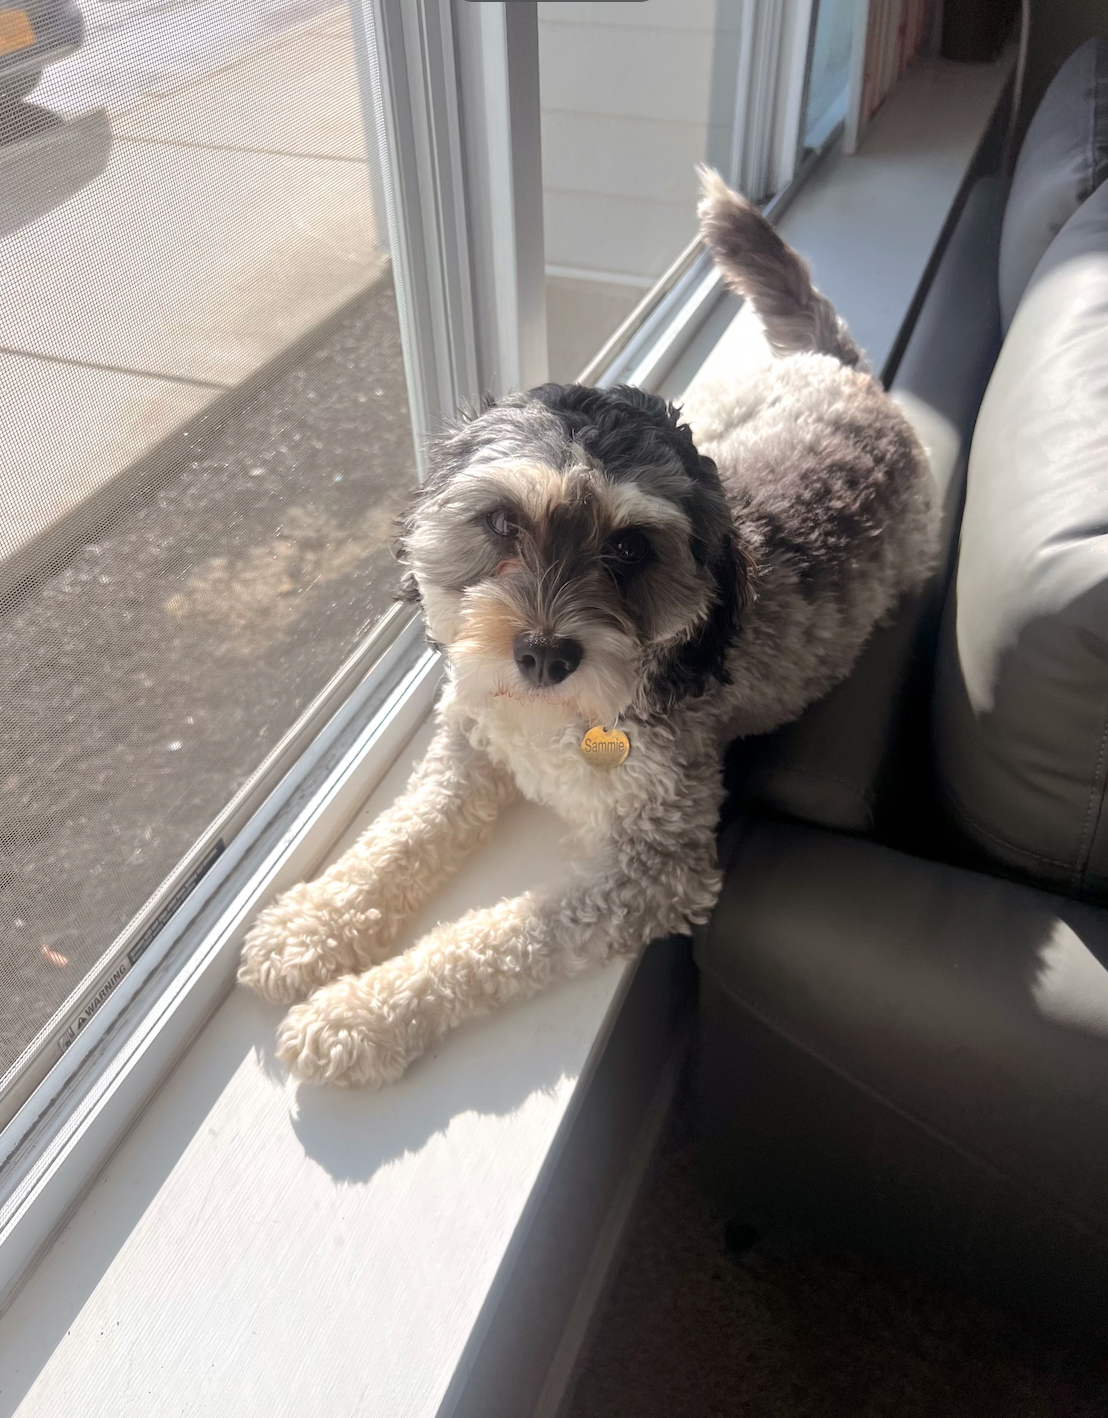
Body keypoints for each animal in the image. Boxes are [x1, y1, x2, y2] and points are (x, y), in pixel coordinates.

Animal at [238, 171, 930, 1089]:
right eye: (499, 523)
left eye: (631, 548)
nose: (542, 653)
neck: (555, 725)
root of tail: (846, 375)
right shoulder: (469, 743)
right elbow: (400, 837)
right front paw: (310, 925)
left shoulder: (653, 867)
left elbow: (497, 938)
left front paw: (359, 1012)